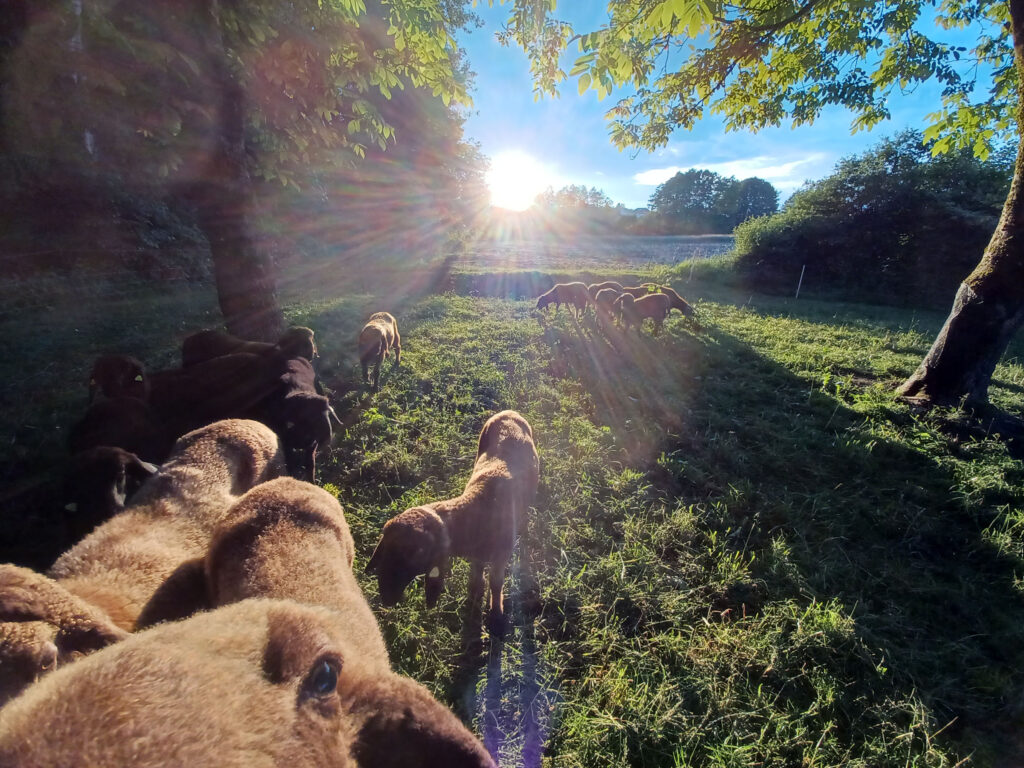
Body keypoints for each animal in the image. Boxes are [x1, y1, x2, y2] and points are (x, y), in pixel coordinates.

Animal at [368, 411, 544, 634]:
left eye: (417, 553)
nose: (386, 598)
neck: (475, 511)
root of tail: (509, 412)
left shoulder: (500, 557)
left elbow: (496, 584)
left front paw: (496, 615)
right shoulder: (478, 555)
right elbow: (477, 576)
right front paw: (474, 597)